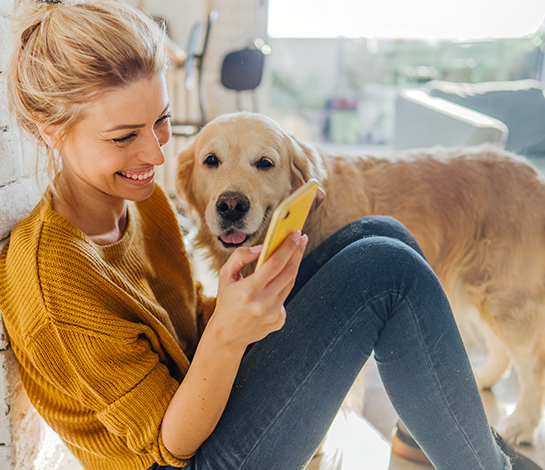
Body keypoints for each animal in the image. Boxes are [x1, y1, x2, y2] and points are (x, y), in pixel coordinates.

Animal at [176, 111, 544, 444]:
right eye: (211, 160)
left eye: (265, 163)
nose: (231, 205)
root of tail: (534, 174)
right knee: (502, 352)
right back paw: (480, 381)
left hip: (506, 298)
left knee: (532, 366)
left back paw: (520, 425)